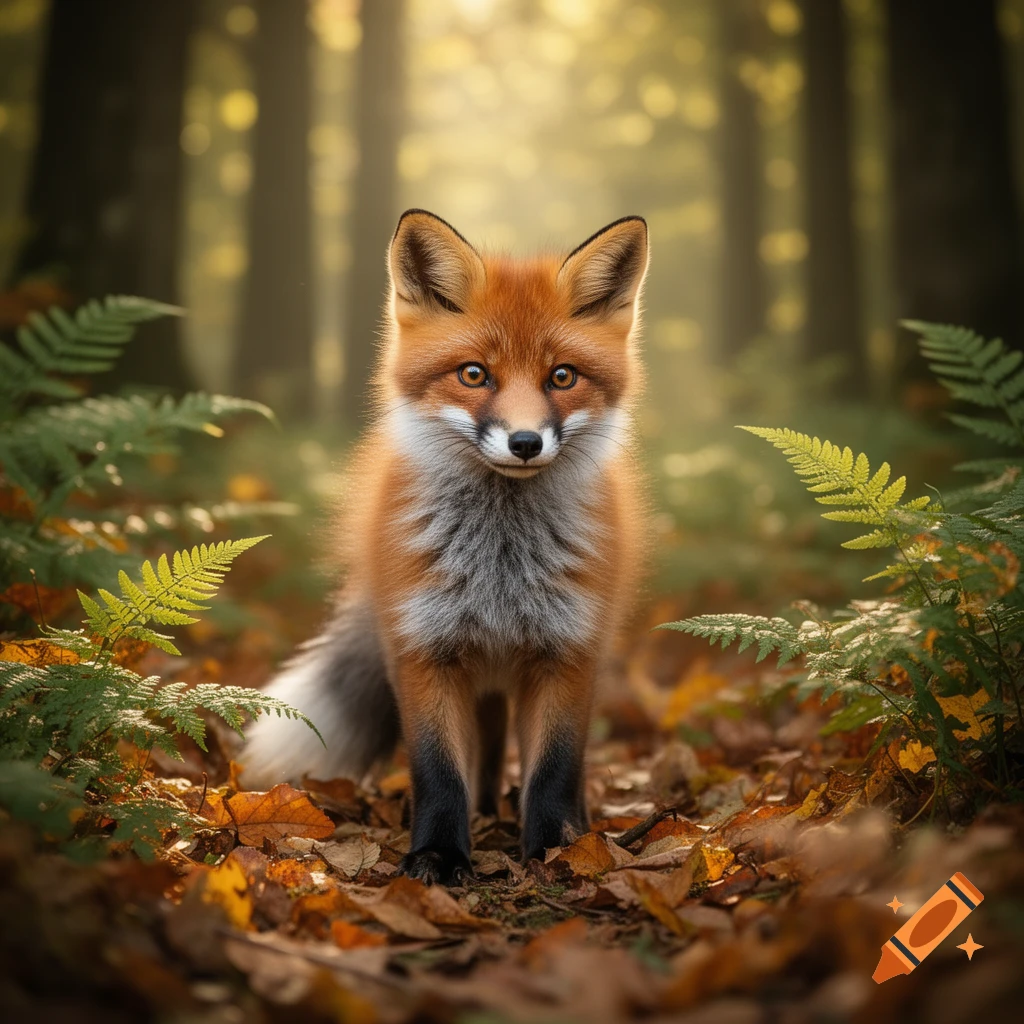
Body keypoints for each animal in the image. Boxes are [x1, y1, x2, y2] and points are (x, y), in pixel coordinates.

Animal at [242, 209, 650, 884]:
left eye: (561, 376)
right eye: (473, 374)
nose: (525, 442)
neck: (501, 565)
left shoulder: (568, 652)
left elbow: (554, 769)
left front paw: (556, 849)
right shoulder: (422, 650)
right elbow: (439, 772)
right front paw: (438, 854)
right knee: (481, 756)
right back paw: (481, 815)